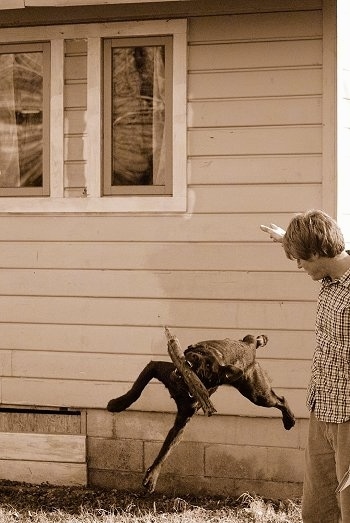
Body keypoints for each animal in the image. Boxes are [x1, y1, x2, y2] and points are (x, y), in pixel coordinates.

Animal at [106, 334, 296, 494]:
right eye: (200, 352)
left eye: (209, 366)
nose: (196, 357)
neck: (183, 386)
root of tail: (249, 345)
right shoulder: (155, 368)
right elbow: (136, 389)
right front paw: (117, 404)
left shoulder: (182, 422)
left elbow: (166, 450)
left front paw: (152, 478)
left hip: (257, 394)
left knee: (280, 400)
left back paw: (290, 420)